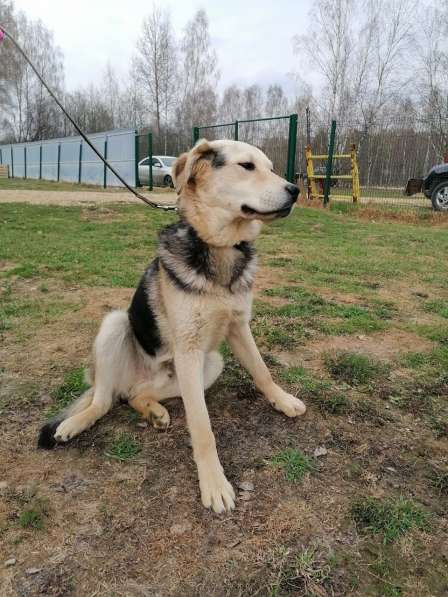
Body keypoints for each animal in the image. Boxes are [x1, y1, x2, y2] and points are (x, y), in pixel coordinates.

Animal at [38, 140, 306, 512]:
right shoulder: (189, 350)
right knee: (104, 401)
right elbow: (202, 426)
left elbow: (261, 370)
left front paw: (282, 400)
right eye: (247, 166)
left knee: (133, 395)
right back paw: (75, 423)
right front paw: (214, 483)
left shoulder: (238, 327)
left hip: (209, 365)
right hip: (115, 325)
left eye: (271, 167)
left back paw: (153, 411)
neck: (218, 247)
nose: (295, 191)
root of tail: (133, 379)